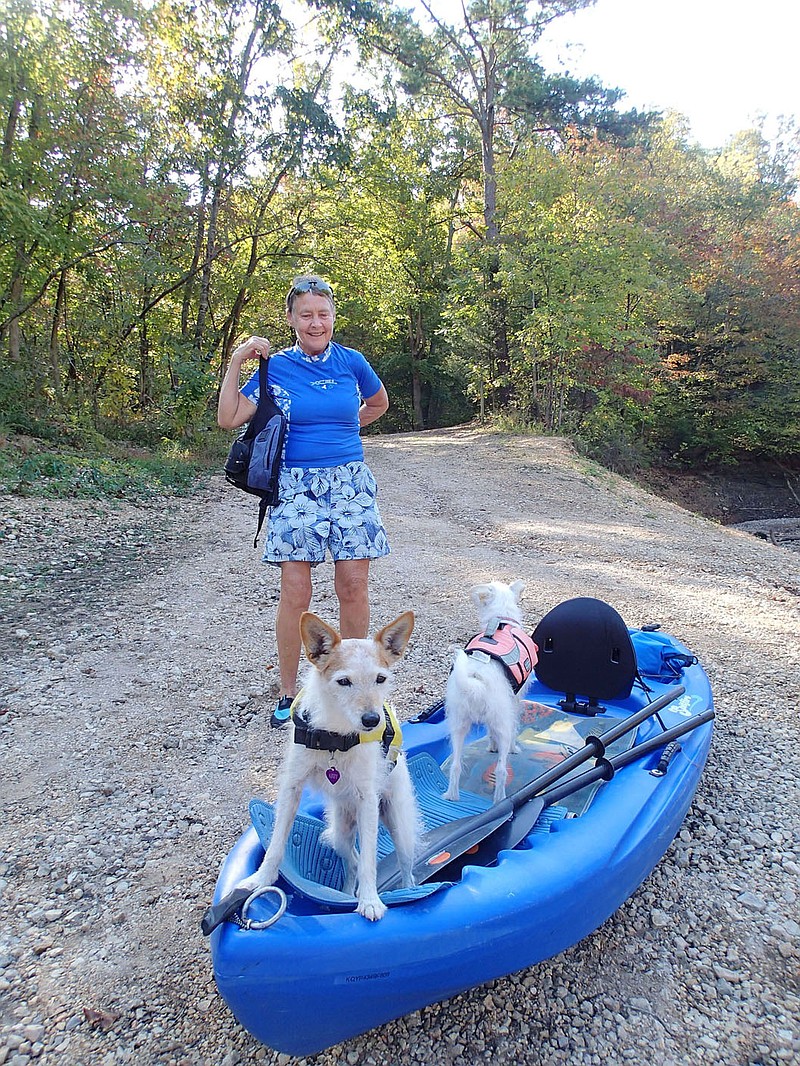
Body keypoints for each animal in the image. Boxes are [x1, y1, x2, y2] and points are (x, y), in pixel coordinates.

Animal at [240, 614, 420, 921]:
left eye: (380, 679)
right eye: (344, 681)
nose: (372, 720)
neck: (336, 736)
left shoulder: (367, 800)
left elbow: (370, 860)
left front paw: (370, 900)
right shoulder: (292, 788)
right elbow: (276, 843)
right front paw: (261, 880)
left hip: (396, 822)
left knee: (405, 865)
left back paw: (407, 890)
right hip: (340, 834)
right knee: (352, 862)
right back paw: (348, 894)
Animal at [445, 579, 539, 801]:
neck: (502, 619)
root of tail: (475, 680)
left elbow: (489, 733)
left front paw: (490, 747)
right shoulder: (514, 703)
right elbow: (514, 727)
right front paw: (513, 748)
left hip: (458, 724)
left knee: (455, 765)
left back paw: (452, 796)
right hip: (501, 720)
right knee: (501, 769)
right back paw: (500, 799)